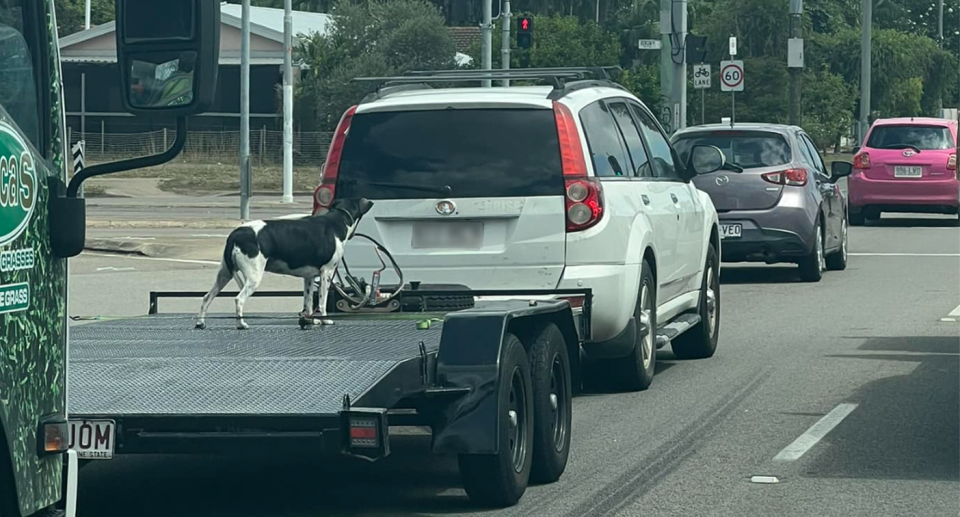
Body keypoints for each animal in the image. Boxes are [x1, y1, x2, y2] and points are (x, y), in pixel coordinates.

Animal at [196, 196, 376, 328]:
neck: (337, 221)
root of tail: (235, 234)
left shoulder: (309, 277)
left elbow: (308, 303)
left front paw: (311, 320)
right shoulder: (326, 273)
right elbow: (322, 302)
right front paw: (325, 320)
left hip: (224, 274)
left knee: (206, 297)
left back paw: (200, 323)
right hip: (253, 277)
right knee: (239, 299)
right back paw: (241, 324)